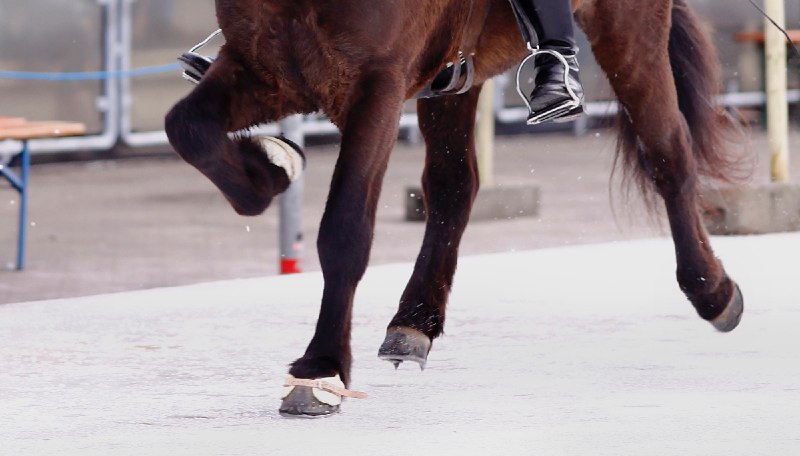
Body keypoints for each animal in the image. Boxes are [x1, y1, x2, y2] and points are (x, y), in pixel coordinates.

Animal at [166, 0, 748, 416]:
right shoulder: (264, 63)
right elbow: (187, 129)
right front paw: (272, 163)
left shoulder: (377, 84)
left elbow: (345, 229)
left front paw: (321, 368)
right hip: (452, 76)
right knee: (453, 187)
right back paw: (415, 321)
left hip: (626, 26)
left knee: (669, 152)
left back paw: (713, 291)